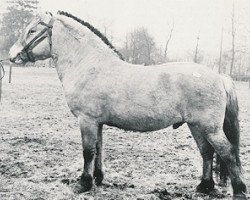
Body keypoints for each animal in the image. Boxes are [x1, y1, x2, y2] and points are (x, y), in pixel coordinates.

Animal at [8, 11, 246, 199]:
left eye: (32, 31)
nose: (11, 55)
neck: (88, 65)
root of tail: (219, 77)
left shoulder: (87, 120)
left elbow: (87, 151)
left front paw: (83, 183)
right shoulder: (97, 123)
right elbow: (98, 149)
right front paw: (98, 178)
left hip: (210, 128)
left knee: (227, 153)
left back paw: (239, 191)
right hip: (196, 126)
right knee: (207, 152)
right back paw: (204, 187)